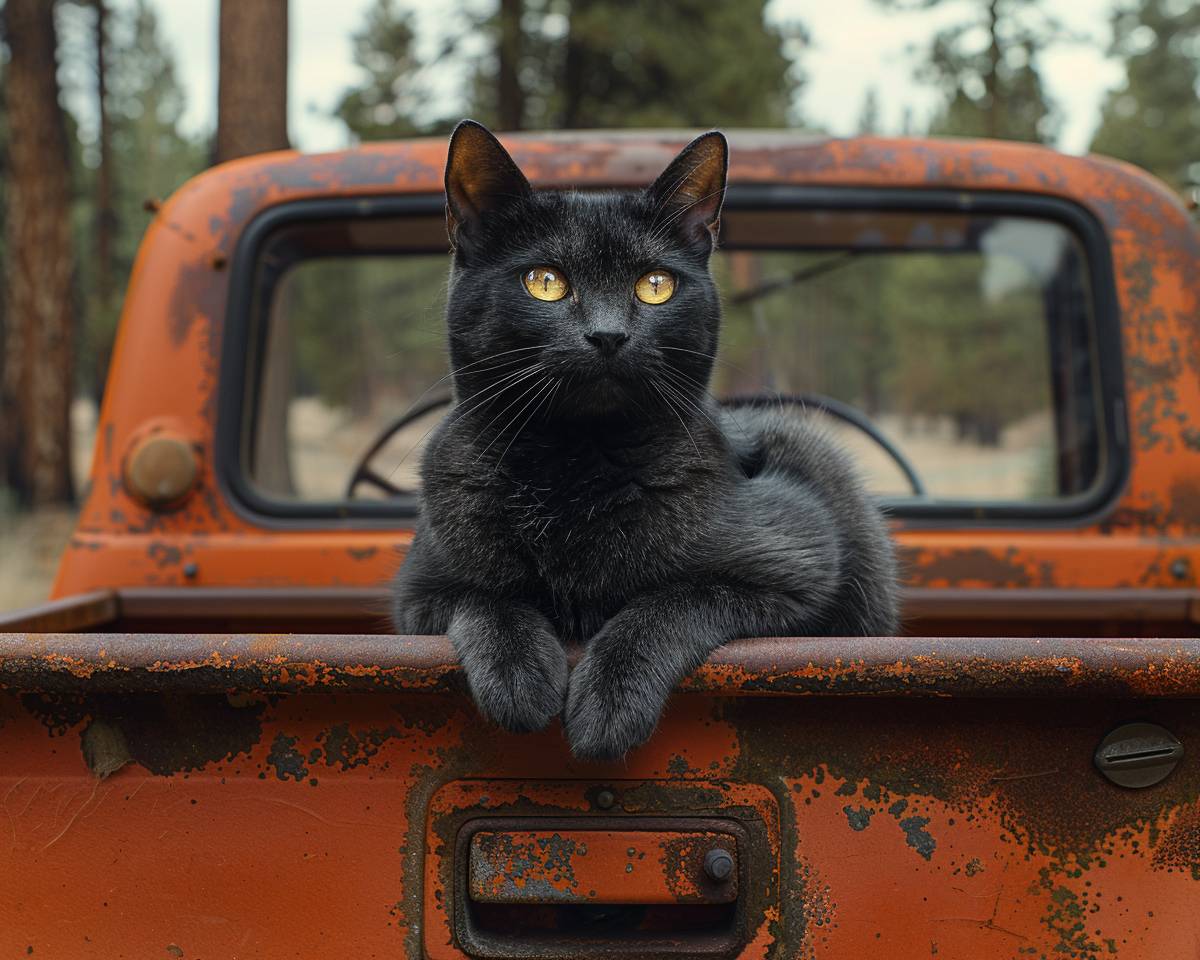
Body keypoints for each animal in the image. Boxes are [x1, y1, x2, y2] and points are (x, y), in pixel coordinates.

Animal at [388, 120, 897, 758]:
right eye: (545, 282)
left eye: (655, 285)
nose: (608, 334)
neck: (574, 463)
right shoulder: (419, 592)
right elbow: (484, 597)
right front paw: (518, 676)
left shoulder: (800, 564)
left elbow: (672, 599)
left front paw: (609, 703)